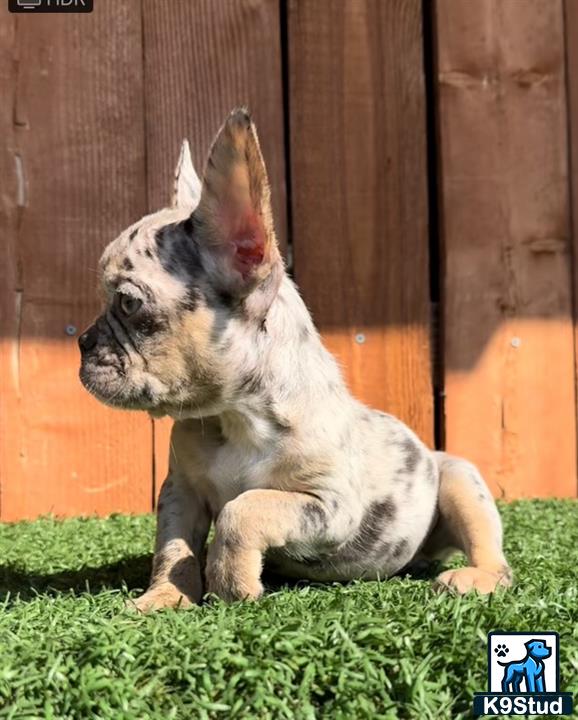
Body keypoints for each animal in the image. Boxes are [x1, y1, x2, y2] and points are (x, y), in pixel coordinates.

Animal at [79, 109, 510, 612]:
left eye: (128, 303)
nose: (82, 341)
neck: (235, 417)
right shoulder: (180, 492)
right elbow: (173, 547)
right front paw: (165, 596)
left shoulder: (330, 505)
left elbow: (244, 508)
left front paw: (230, 582)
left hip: (461, 480)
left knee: (494, 555)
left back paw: (475, 578)